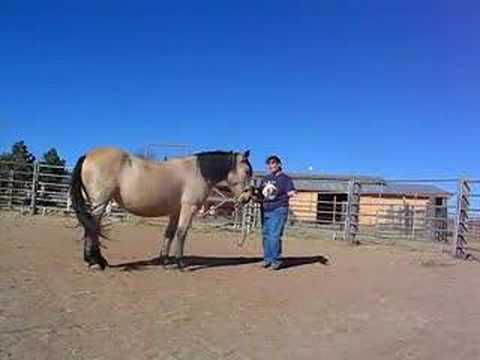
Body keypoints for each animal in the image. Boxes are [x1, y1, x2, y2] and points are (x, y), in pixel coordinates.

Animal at [70, 147, 255, 270]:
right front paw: (180, 263)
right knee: (92, 228)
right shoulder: (189, 208)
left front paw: (165, 260)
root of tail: (87, 155)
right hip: (100, 203)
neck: (197, 171)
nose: (247, 198)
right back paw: (95, 262)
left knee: (91, 227)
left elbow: (170, 233)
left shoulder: (175, 211)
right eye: (247, 171)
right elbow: (182, 233)